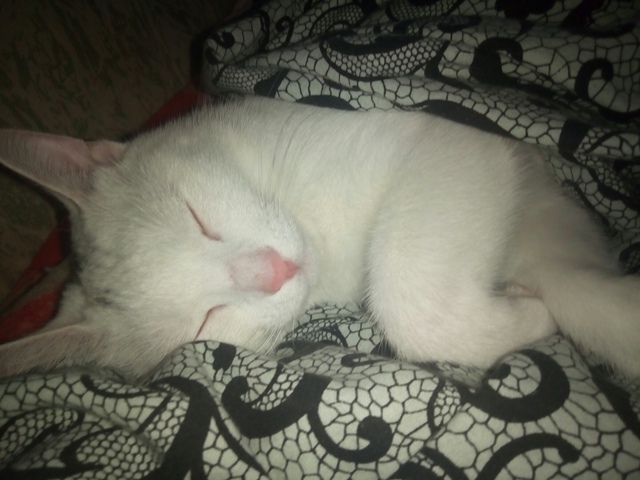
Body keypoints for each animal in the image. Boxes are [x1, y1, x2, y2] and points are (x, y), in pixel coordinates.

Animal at [0, 96, 639, 379]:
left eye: (196, 216)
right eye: (206, 321)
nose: (274, 271)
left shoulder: (460, 143)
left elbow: (408, 295)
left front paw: (540, 311)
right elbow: (586, 297)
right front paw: (542, 312)